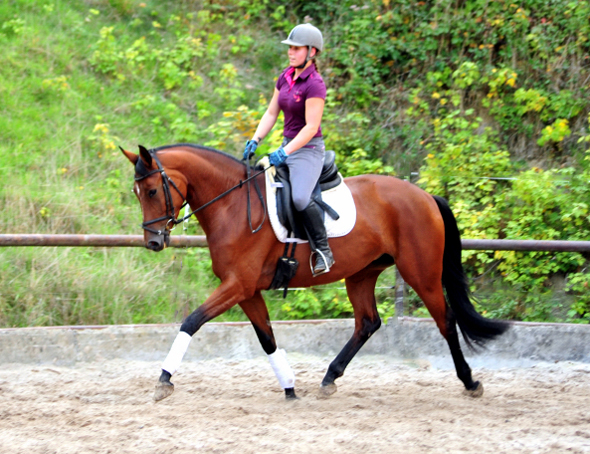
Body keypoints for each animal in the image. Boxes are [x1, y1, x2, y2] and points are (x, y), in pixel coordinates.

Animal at [121, 142, 508, 400]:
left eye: (152, 190)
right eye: (137, 193)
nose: (153, 242)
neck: (232, 205)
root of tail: (425, 196)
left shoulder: (237, 285)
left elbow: (192, 321)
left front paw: (164, 379)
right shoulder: (247, 290)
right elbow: (267, 338)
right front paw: (290, 387)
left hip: (420, 273)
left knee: (445, 321)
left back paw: (470, 381)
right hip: (362, 274)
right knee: (367, 323)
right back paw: (329, 378)